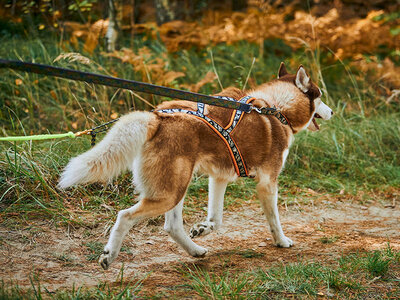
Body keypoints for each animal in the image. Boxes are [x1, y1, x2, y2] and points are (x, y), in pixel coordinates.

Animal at [58, 63, 334, 270]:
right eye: (320, 96)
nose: (332, 112)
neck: (277, 108)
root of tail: (158, 117)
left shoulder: (219, 178)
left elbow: (217, 219)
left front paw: (203, 228)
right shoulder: (268, 182)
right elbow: (274, 220)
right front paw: (282, 241)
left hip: (177, 187)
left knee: (171, 226)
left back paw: (196, 251)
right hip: (170, 193)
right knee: (124, 216)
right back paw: (109, 255)